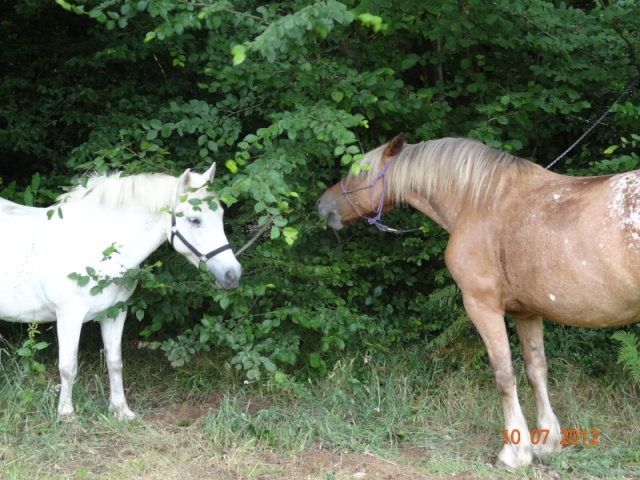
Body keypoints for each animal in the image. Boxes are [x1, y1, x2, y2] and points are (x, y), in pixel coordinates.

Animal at [0, 164, 240, 420]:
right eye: (194, 220)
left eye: (221, 215)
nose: (232, 274)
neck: (93, 247)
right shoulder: (68, 317)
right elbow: (68, 367)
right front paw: (66, 414)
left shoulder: (114, 314)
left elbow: (115, 362)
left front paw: (121, 410)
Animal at [316, 134, 640, 468]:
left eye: (359, 170)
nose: (322, 205)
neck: (478, 201)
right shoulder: (527, 312)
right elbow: (536, 370)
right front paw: (546, 441)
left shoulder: (482, 307)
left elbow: (504, 375)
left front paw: (515, 452)